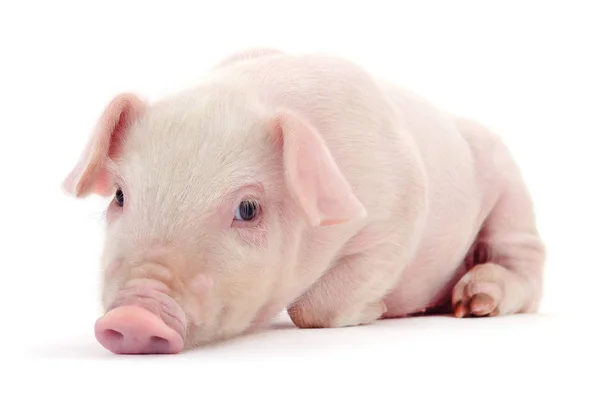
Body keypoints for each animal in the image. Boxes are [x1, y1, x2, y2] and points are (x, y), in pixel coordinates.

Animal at [63, 47, 548, 354]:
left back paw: (475, 303)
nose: (133, 316)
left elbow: (315, 306)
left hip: (510, 191)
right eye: (120, 196)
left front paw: (378, 311)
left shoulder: (398, 216)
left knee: (525, 261)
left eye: (248, 209)